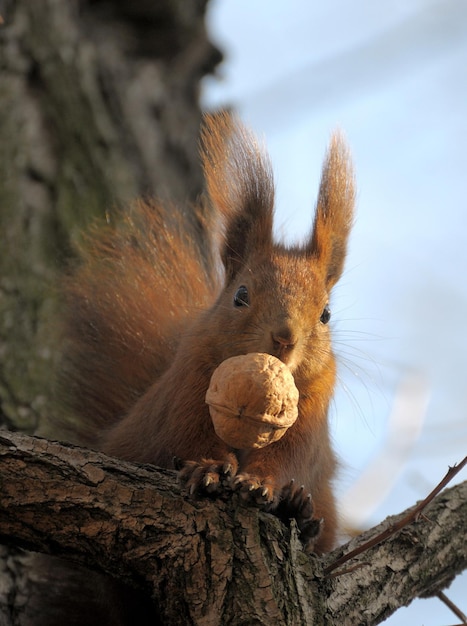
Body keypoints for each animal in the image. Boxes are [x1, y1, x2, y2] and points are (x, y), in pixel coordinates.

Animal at [60, 112, 356, 552]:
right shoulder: (189, 382)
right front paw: (210, 469)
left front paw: (263, 483)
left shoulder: (312, 411)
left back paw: (300, 513)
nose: (284, 339)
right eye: (240, 295)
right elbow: (190, 431)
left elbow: (292, 456)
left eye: (326, 314)